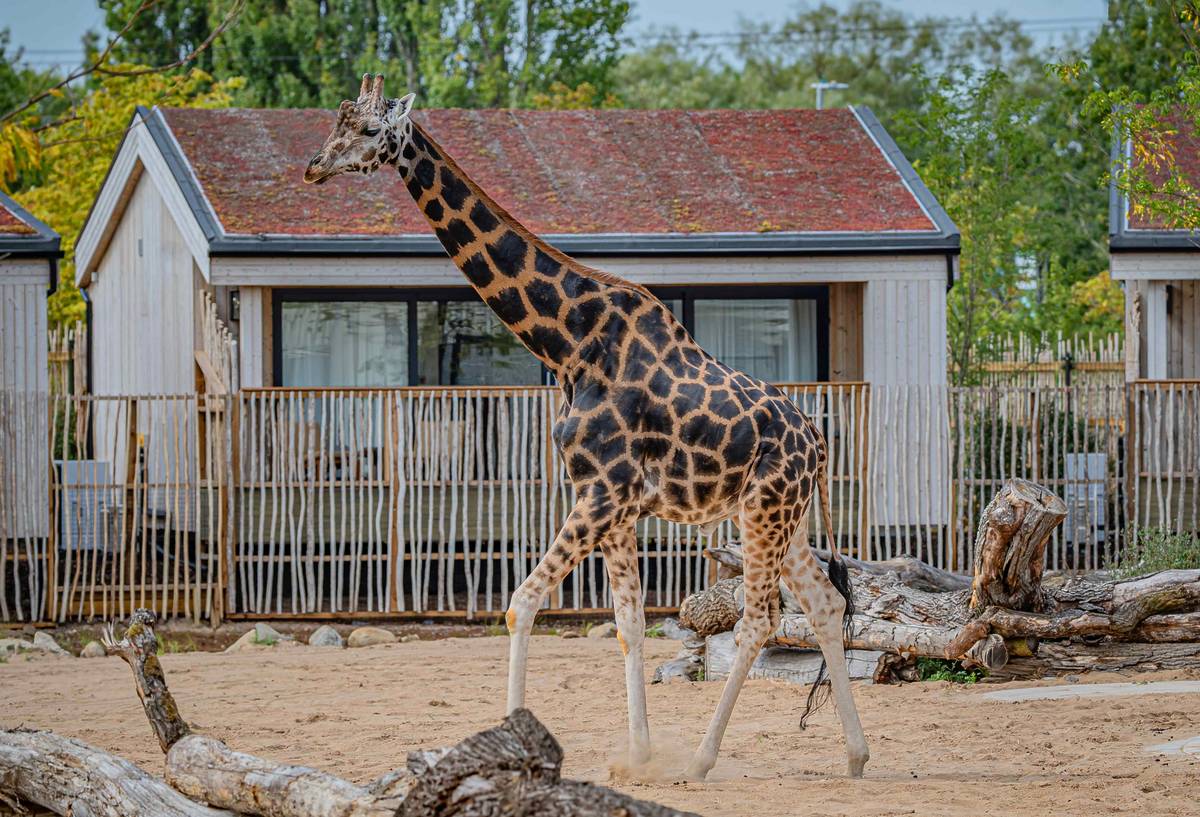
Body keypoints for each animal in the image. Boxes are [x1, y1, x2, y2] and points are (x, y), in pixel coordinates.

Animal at [304, 74, 870, 780]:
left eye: (370, 129)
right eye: (337, 120)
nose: (314, 167)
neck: (568, 342)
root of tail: (817, 442)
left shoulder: (600, 494)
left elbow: (520, 604)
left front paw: (519, 751)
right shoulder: (617, 505)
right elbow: (627, 622)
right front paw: (637, 757)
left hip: (765, 512)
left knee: (759, 619)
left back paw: (703, 760)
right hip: (778, 516)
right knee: (824, 603)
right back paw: (856, 755)